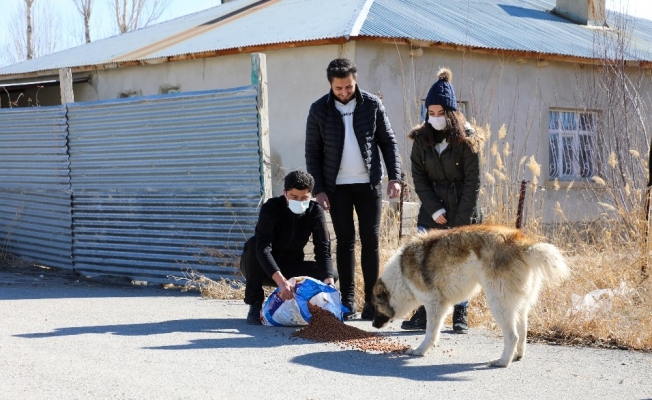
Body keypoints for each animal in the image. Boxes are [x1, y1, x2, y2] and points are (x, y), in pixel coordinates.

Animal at [372, 224, 570, 368]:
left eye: (375, 307)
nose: (373, 325)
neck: (401, 275)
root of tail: (523, 244)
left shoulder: (435, 304)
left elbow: (430, 332)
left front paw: (420, 350)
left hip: (498, 303)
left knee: (512, 336)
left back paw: (502, 362)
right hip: (517, 306)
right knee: (522, 333)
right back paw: (517, 356)